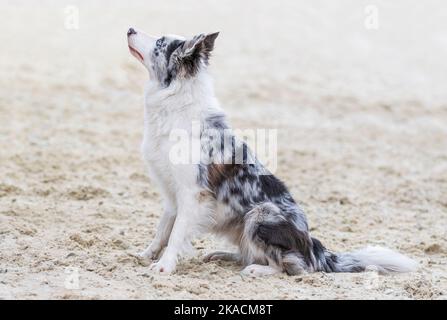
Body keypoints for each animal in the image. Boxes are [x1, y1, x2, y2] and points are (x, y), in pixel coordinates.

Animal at [127, 28, 420, 276]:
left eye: (160, 42)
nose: (130, 29)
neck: (174, 103)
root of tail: (315, 249)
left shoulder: (192, 193)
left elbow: (176, 233)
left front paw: (164, 266)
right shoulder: (171, 193)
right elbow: (163, 229)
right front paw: (146, 255)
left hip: (260, 214)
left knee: (293, 266)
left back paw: (257, 270)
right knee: (255, 254)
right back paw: (223, 255)